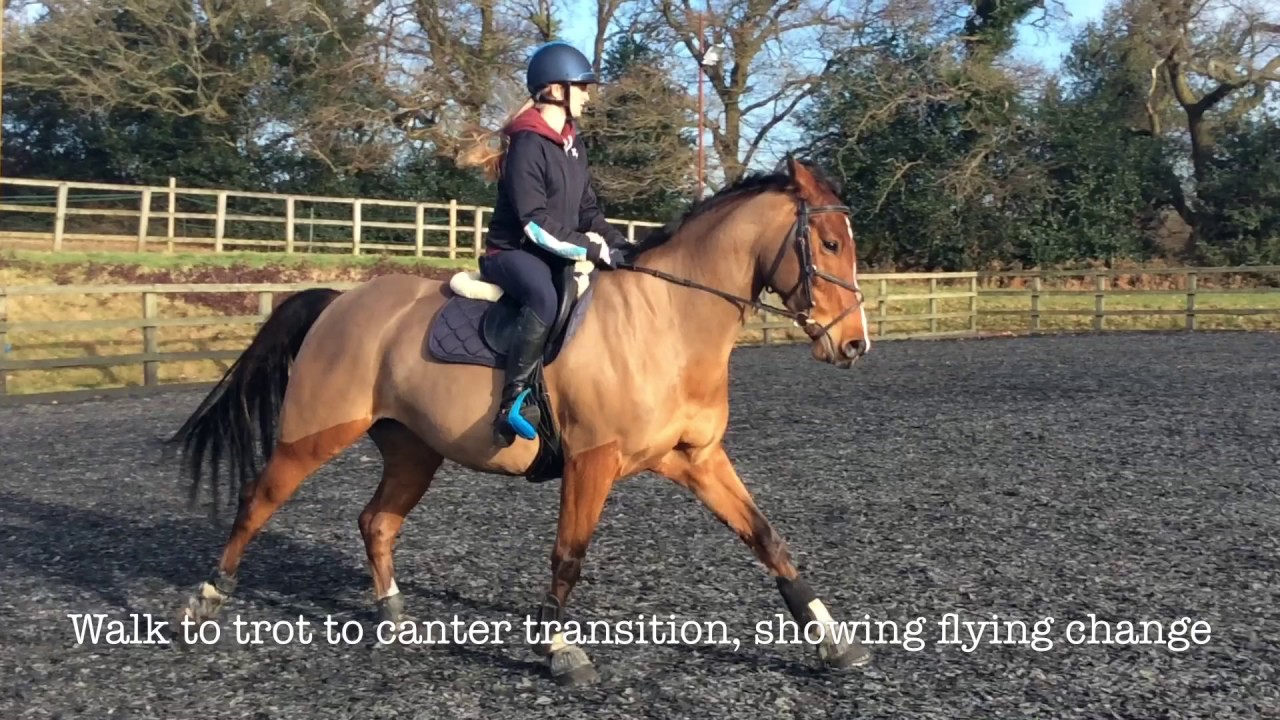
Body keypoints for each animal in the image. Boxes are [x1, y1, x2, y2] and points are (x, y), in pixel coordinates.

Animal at [166, 155, 874, 686]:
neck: (666, 322)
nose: (854, 345)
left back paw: (392, 615)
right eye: (830, 244)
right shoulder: (593, 462)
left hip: (414, 449)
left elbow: (767, 538)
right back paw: (203, 603)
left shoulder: (695, 459)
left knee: (377, 521)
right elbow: (568, 556)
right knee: (258, 500)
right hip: (313, 435)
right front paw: (559, 649)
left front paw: (832, 639)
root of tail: (341, 300)